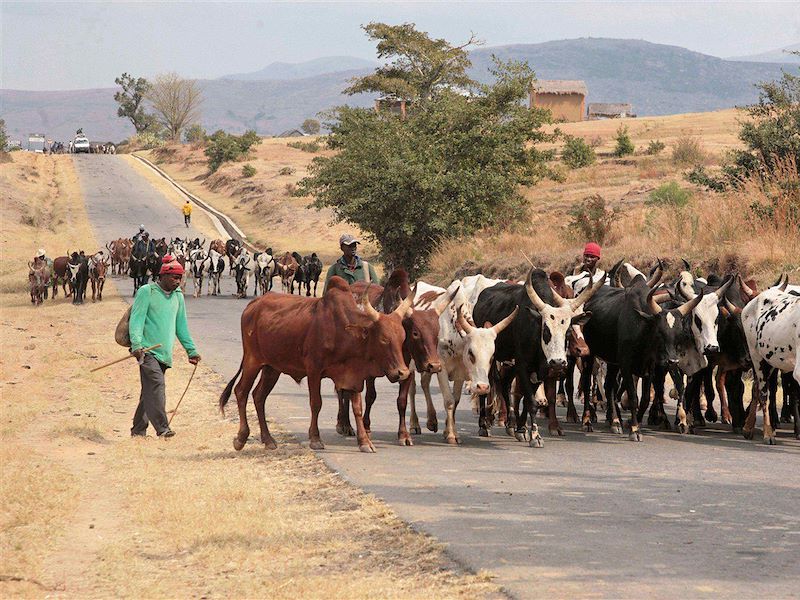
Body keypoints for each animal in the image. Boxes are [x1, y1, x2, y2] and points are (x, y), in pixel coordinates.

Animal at [220, 278, 412, 452]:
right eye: (384, 339)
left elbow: (357, 408)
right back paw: (241, 438)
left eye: (403, 337)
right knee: (241, 392)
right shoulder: (314, 370)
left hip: (272, 368)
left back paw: (268, 440)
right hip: (253, 361)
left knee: (259, 396)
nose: (402, 372)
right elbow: (316, 403)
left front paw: (364, 442)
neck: (343, 331)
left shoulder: (353, 376)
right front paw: (315, 439)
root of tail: (253, 305)